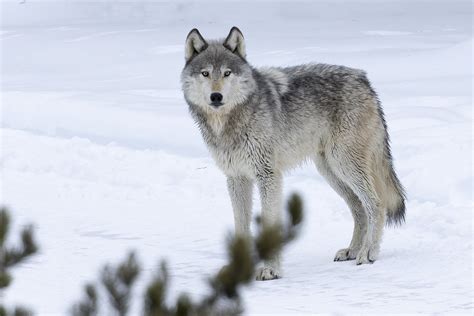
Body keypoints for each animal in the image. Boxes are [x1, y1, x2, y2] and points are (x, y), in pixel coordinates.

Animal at [180, 25, 406, 280]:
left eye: (227, 73)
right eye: (205, 74)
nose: (216, 96)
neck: (231, 121)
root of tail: (363, 79)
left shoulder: (268, 175)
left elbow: (269, 223)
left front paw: (271, 269)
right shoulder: (236, 178)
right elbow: (240, 225)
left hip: (344, 165)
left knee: (375, 204)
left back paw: (368, 253)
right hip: (330, 171)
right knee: (358, 208)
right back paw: (352, 250)